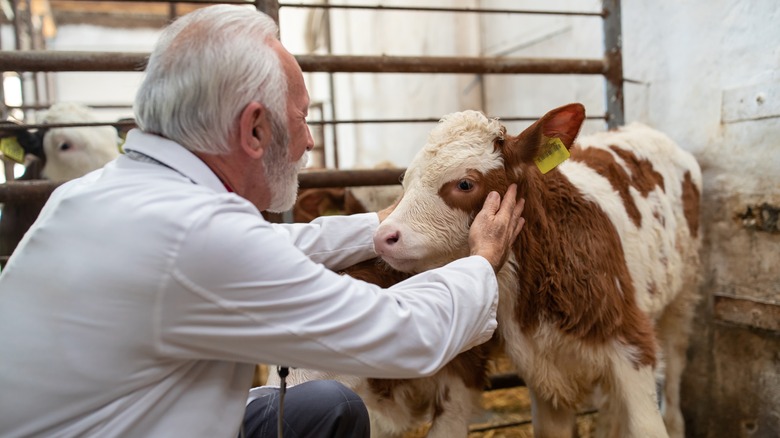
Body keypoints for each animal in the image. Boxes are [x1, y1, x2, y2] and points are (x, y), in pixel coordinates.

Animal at [372, 103, 700, 438]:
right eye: (406, 180)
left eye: (465, 183)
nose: (384, 236)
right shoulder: (541, 373)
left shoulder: (632, 345)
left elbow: (647, 425)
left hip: (684, 292)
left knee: (675, 360)